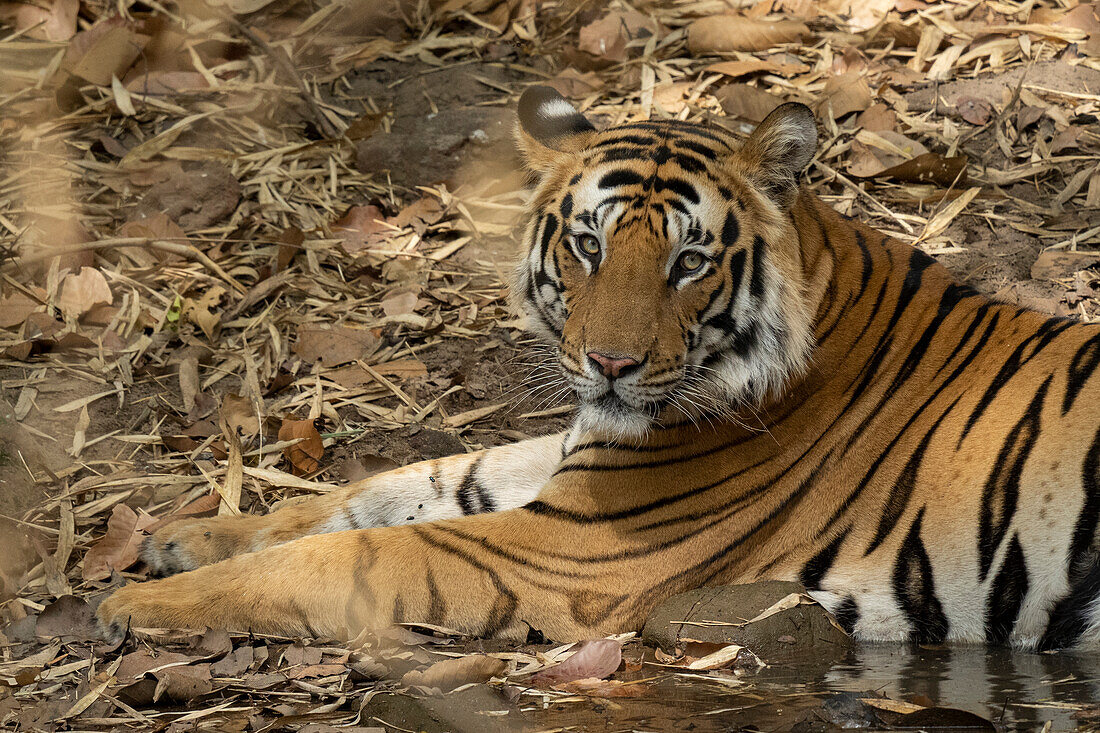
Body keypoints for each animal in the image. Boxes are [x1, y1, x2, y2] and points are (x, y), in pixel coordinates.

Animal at [96, 82, 1100, 647]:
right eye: (587, 245)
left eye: (689, 261)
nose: (611, 361)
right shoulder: (578, 465)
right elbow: (398, 483)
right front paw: (190, 535)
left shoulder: (569, 552)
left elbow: (351, 551)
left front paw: (140, 602)